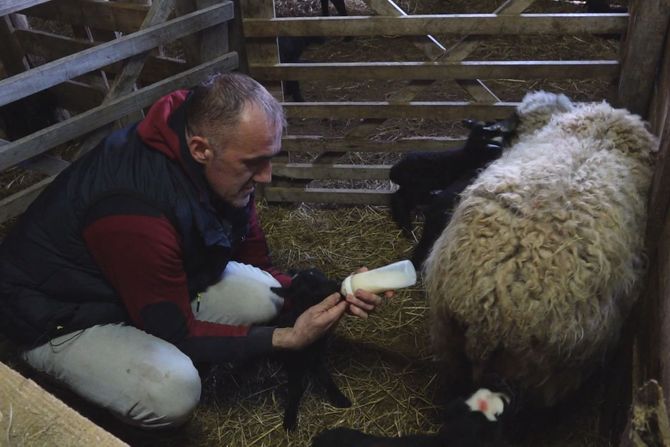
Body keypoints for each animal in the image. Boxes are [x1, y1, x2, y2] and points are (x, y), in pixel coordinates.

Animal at [270, 268, 352, 432]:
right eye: (311, 287)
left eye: (322, 275)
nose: (338, 285)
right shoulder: (294, 360)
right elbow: (295, 389)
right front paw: (289, 419)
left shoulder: (317, 356)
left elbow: (326, 377)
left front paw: (339, 398)